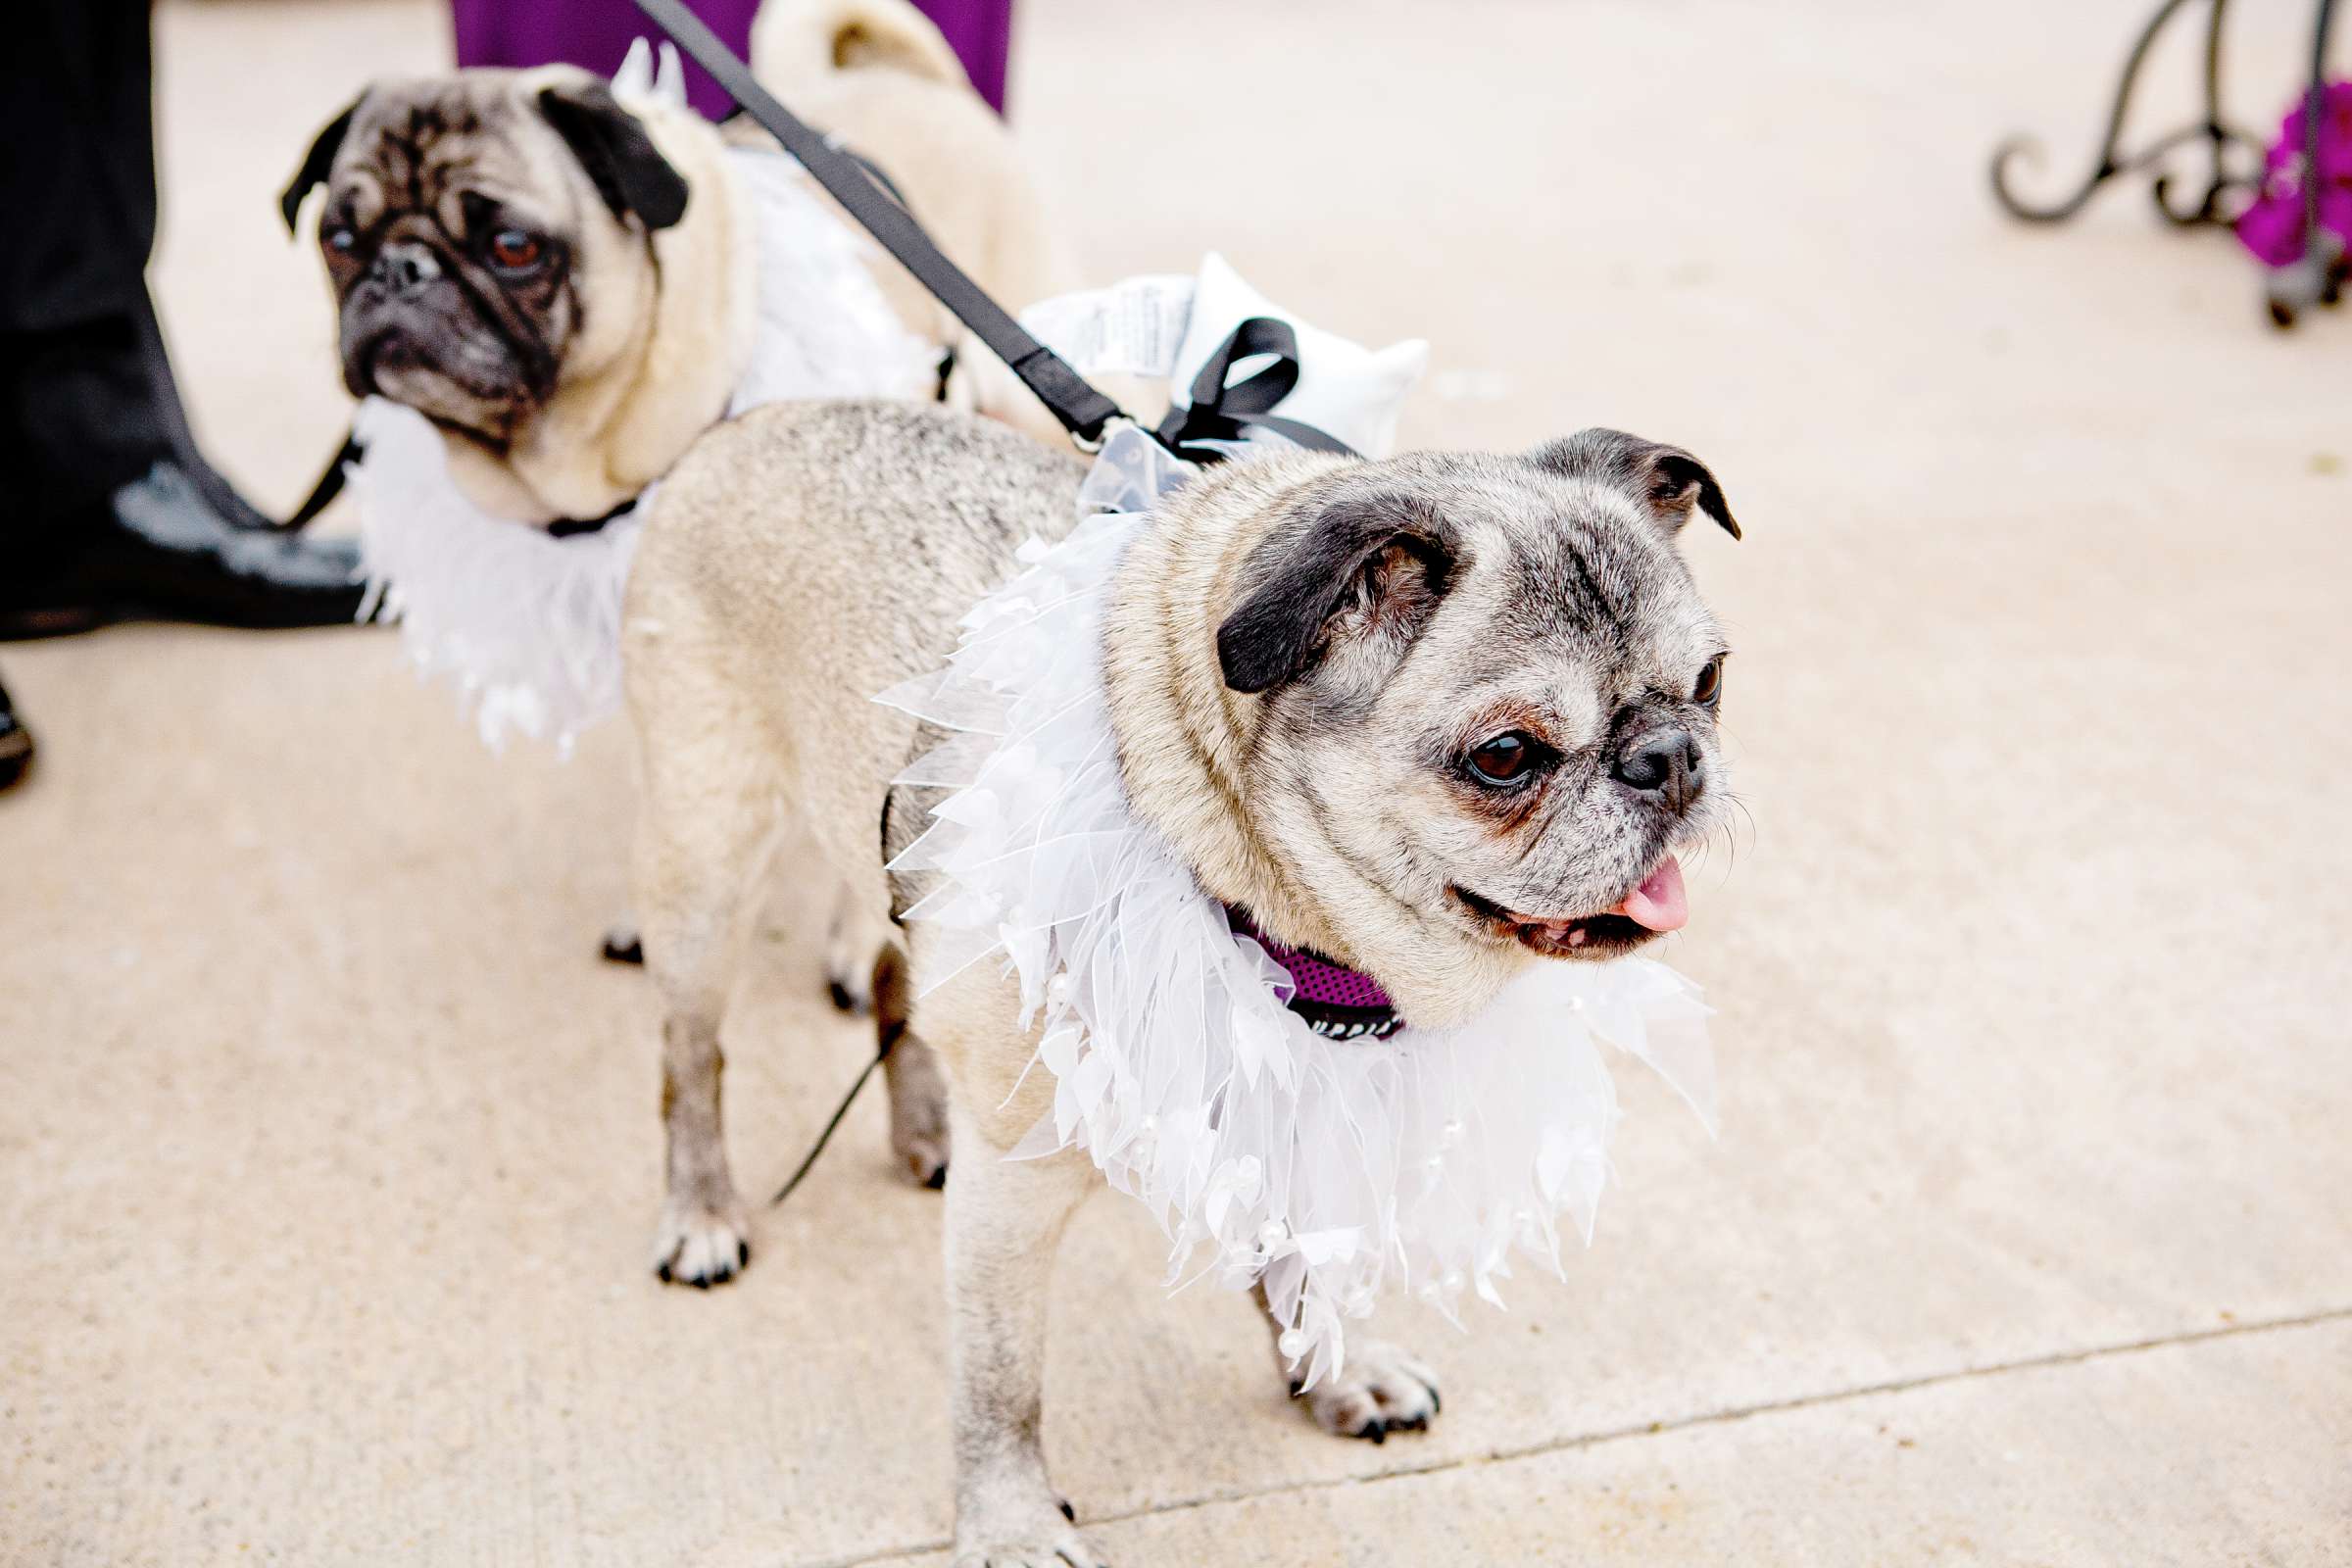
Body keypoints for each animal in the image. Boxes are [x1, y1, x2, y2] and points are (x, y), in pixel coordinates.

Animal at [625, 402, 1749, 1568]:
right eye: (1506, 756)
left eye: (1712, 682)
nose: (1671, 755)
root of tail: (754, 417)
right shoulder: (1010, 1197)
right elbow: (999, 1380)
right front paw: (1010, 1518)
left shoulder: (1296, 1108)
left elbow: (1307, 1274)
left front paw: (1334, 1371)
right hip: (706, 860)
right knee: (691, 1054)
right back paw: (701, 1213)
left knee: (896, 985)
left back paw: (922, 1128)